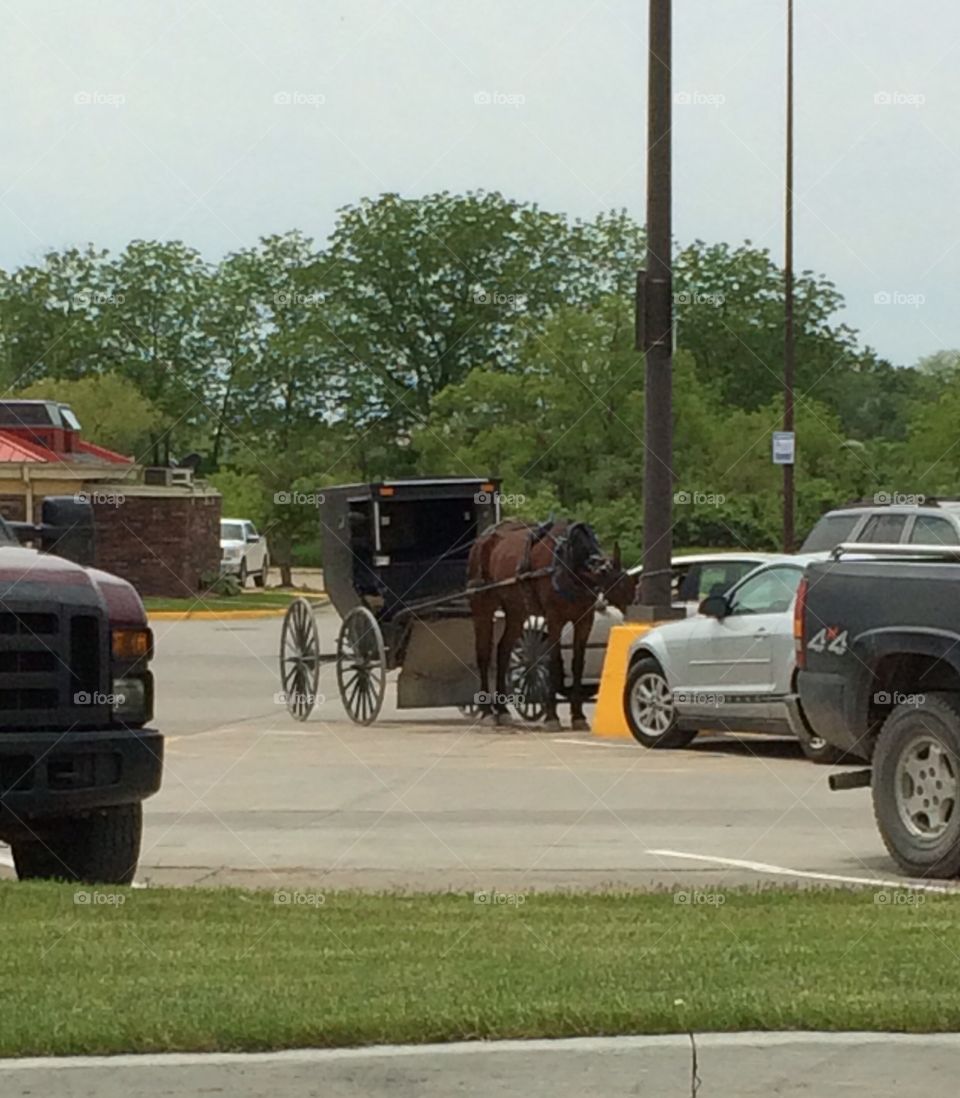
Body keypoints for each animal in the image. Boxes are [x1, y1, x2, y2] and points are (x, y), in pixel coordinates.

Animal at [465, 520, 637, 729]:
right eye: (616, 591)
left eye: (629, 593)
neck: (570, 564)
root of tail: (481, 540)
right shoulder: (554, 619)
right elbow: (554, 662)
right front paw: (551, 716)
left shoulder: (584, 620)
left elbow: (577, 664)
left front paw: (578, 715)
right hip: (483, 605)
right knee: (483, 653)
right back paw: (487, 711)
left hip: (516, 610)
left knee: (503, 651)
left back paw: (503, 710)